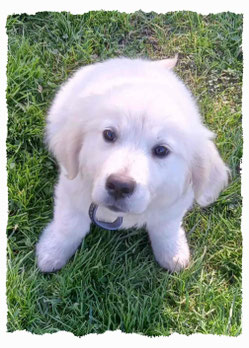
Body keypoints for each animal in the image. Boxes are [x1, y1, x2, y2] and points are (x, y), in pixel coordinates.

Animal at [36, 56, 229, 272]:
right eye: (109, 135)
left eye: (161, 150)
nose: (120, 185)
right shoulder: (71, 189)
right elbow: (69, 224)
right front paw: (52, 252)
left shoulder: (174, 203)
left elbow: (166, 228)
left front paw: (173, 254)